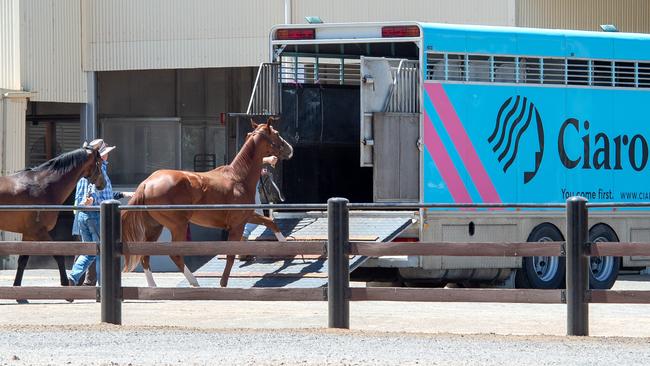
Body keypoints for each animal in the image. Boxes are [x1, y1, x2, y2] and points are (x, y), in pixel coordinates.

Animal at [0, 144, 105, 298]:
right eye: (101, 163)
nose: (103, 184)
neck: (42, 185)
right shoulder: (39, 232)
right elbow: (58, 254)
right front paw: (66, 285)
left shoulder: (29, 234)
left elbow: (23, 261)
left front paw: (17, 290)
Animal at [122, 118, 294, 288]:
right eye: (276, 133)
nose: (289, 149)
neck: (238, 178)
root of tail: (147, 183)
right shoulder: (237, 225)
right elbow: (230, 255)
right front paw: (223, 283)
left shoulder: (247, 217)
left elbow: (271, 222)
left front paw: (287, 249)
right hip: (178, 226)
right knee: (174, 254)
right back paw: (194, 283)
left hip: (154, 226)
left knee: (145, 255)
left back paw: (153, 287)